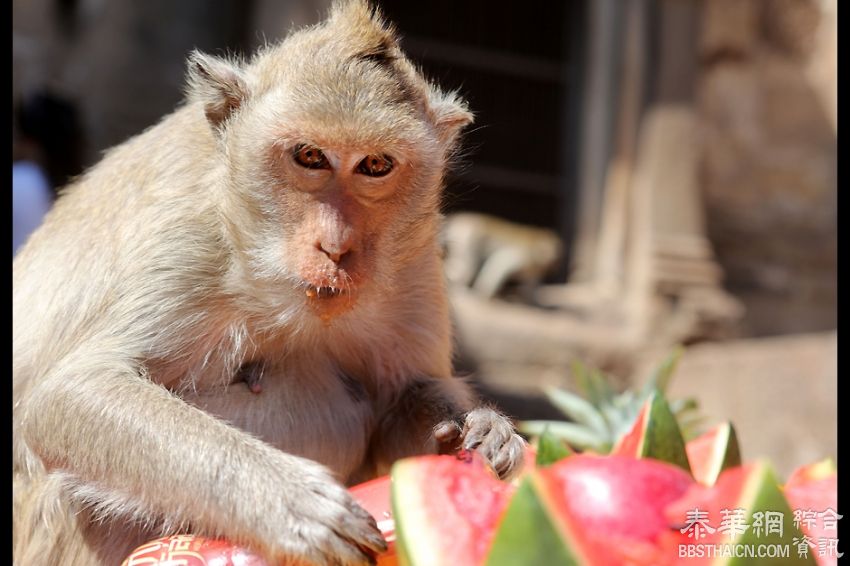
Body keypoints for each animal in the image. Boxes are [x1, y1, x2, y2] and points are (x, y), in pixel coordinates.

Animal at [13, 2, 524, 564]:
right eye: (309, 156)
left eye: (375, 165)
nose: (336, 247)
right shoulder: (192, 239)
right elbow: (70, 393)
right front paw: (293, 503)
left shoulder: (416, 263)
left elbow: (405, 399)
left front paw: (480, 433)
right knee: (75, 491)